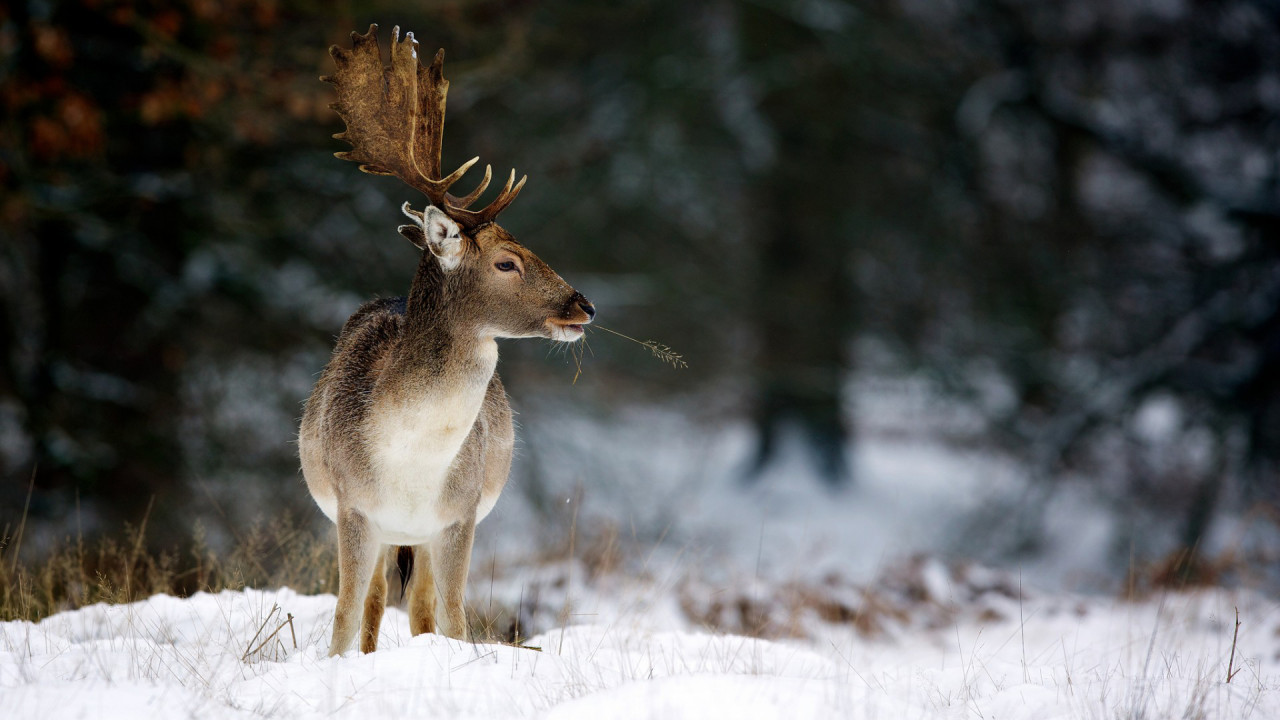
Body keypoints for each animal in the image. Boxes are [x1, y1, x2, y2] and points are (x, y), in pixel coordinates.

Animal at [299, 26, 593, 655]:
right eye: (507, 262)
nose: (583, 305)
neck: (410, 462)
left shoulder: (460, 514)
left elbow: (455, 617)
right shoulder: (353, 507)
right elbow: (343, 614)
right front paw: (336, 663)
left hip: (430, 532)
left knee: (421, 608)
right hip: (382, 530)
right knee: (376, 603)